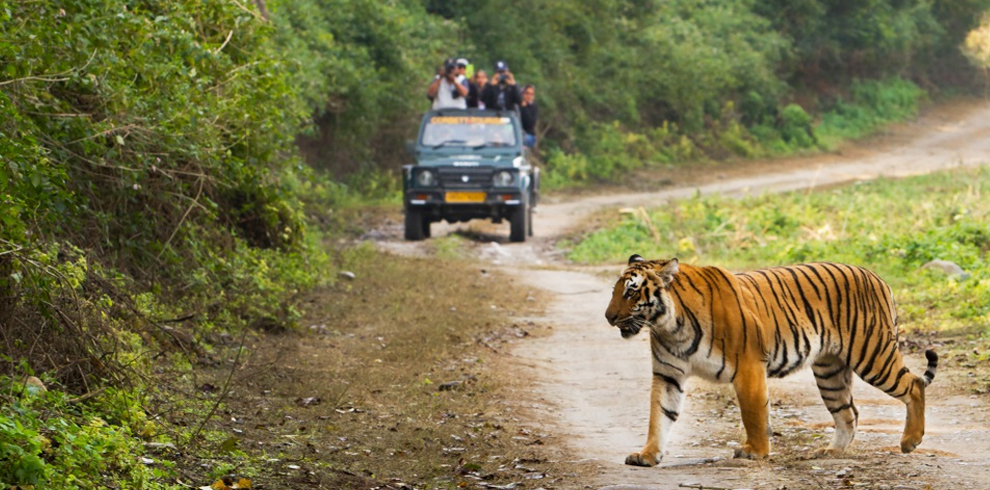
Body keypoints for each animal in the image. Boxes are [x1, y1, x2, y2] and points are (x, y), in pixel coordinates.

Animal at [604, 255, 936, 466]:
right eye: (615, 291)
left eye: (632, 292)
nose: (608, 317)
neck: (669, 326)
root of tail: (877, 277)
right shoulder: (668, 374)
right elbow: (659, 416)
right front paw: (647, 455)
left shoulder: (749, 366)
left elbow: (753, 413)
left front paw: (755, 451)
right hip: (829, 371)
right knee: (849, 412)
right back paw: (831, 452)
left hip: (872, 354)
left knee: (914, 384)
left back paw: (910, 441)